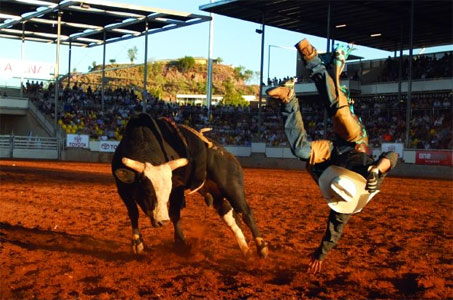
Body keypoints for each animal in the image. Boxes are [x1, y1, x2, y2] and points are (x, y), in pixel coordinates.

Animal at [112, 112, 268, 258]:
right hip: (217, 194)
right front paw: (137, 243)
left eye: (168, 192)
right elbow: (133, 213)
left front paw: (180, 242)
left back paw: (261, 247)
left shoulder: (177, 189)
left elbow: (174, 214)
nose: (162, 221)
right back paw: (246, 250)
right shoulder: (123, 190)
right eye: (147, 190)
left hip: (232, 187)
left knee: (246, 213)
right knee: (230, 216)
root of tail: (228, 154)